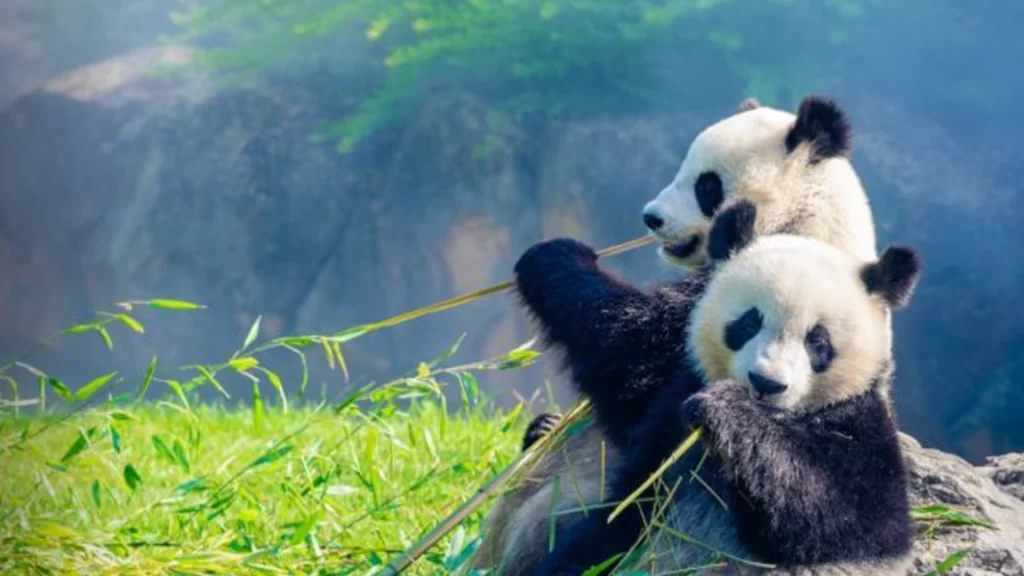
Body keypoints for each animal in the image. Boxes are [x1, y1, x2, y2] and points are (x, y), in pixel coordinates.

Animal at [533, 211, 922, 576]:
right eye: (749, 322)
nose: (765, 383)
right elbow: (628, 506)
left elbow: (844, 516)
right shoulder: (669, 421)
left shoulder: (859, 424)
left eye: (818, 341)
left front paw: (725, 409)